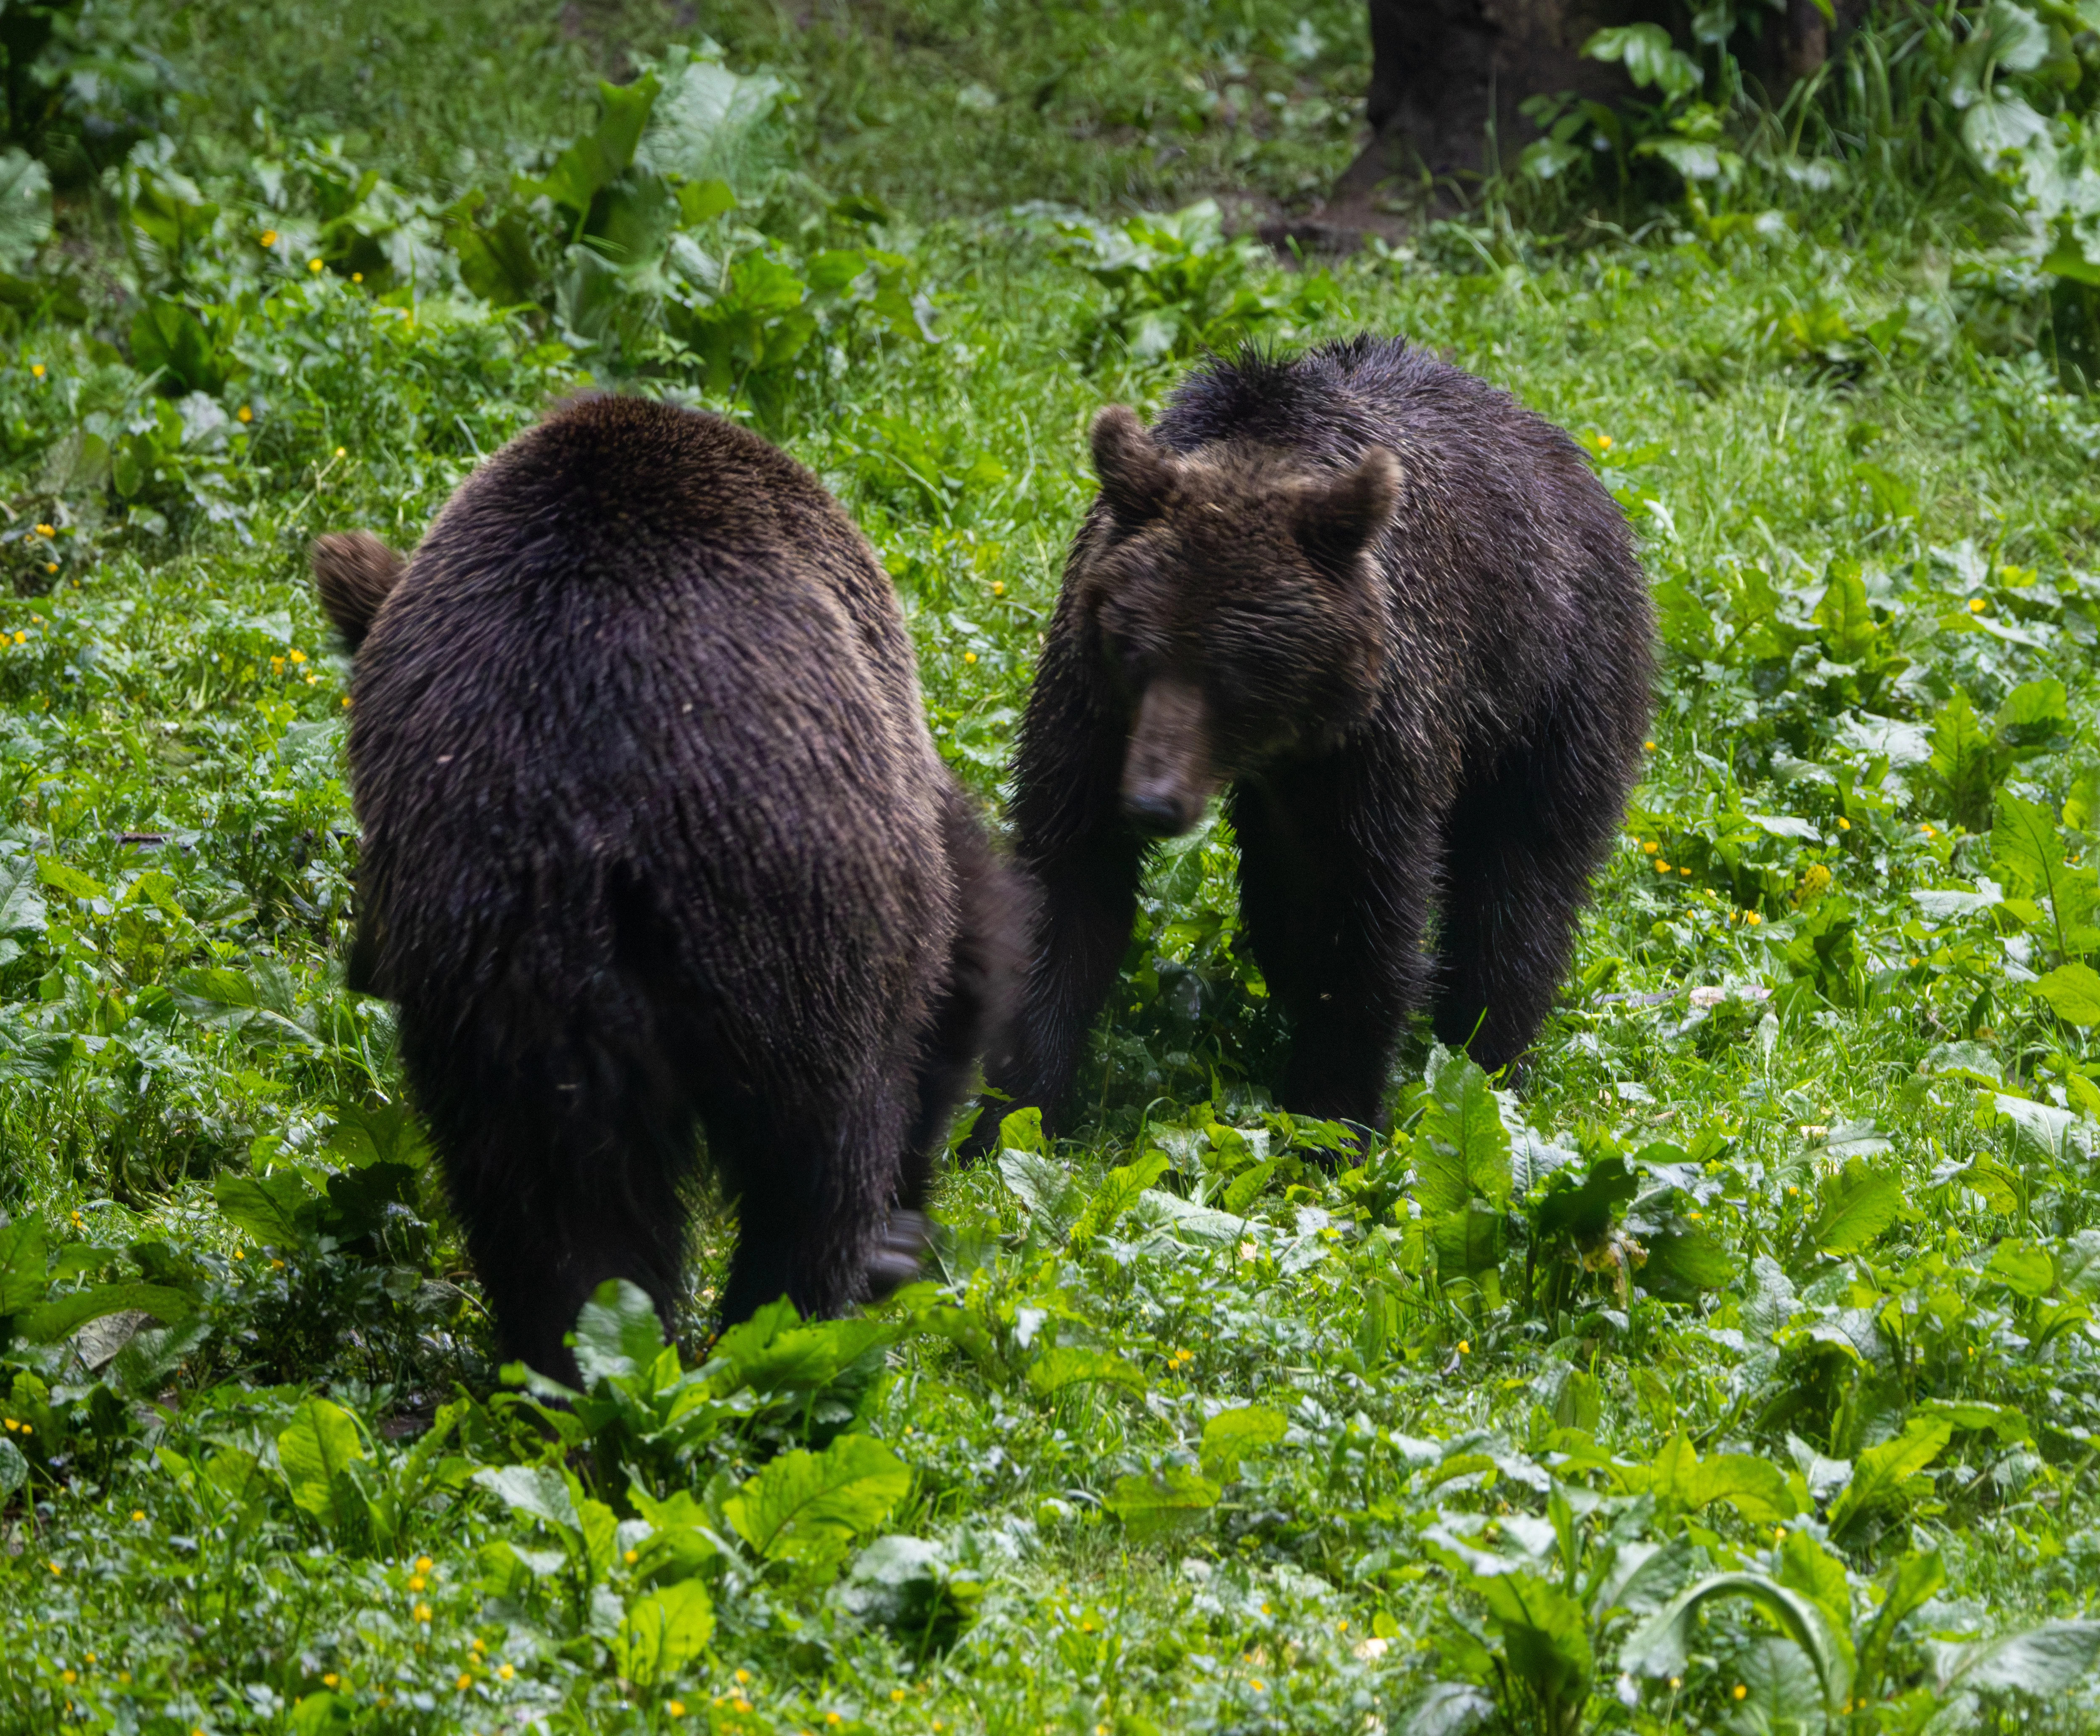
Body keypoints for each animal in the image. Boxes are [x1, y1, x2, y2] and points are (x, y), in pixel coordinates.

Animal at [311, 394, 1023, 1387]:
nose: (359, 963)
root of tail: (603, 821)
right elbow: (960, 961)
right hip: (796, 915)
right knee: (819, 1158)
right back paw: (795, 1329)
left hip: (505, 976)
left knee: (551, 1209)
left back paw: (583, 1373)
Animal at [975, 335, 1651, 1144]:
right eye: (1136, 652)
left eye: (1236, 671)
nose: (1152, 802)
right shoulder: (1092, 702)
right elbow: (1072, 875)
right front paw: (1011, 1114)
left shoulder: (1376, 738)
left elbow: (1362, 916)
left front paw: (1331, 1121)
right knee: (1277, 895)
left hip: (1555, 681)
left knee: (1521, 880)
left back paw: (1489, 1054)